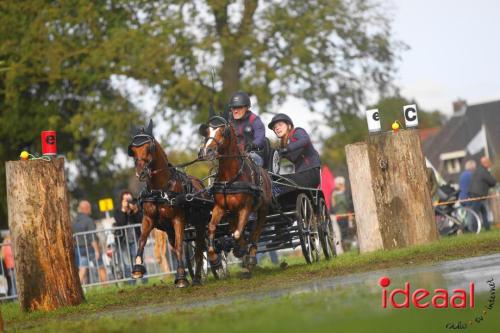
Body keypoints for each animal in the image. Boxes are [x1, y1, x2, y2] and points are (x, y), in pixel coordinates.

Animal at [129, 120, 209, 286]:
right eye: (132, 150)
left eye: (150, 147)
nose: (141, 173)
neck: (160, 190)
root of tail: (200, 184)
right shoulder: (148, 219)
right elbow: (142, 241)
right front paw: (137, 269)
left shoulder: (178, 219)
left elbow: (179, 247)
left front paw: (182, 278)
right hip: (169, 229)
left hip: (199, 224)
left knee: (199, 250)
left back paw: (197, 278)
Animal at [198, 115, 272, 276]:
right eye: (207, 132)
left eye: (223, 132)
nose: (208, 151)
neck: (230, 177)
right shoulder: (220, 208)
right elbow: (212, 228)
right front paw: (216, 261)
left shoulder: (245, 208)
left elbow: (238, 233)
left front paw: (241, 251)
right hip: (231, 213)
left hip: (263, 209)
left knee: (256, 232)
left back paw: (250, 258)